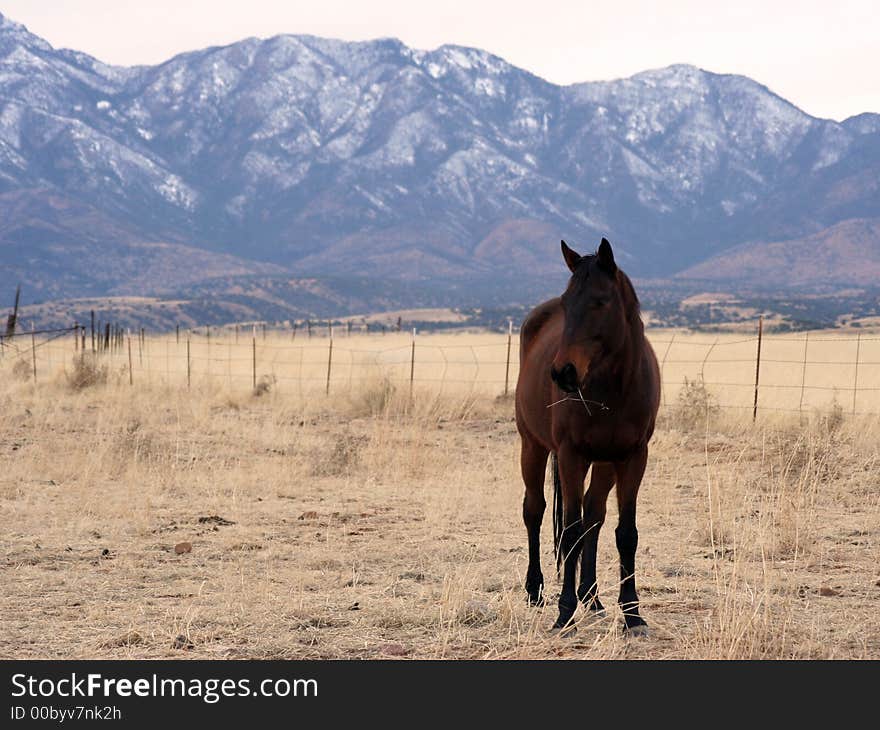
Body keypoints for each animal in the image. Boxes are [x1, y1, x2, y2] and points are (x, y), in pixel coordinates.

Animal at [516, 237, 660, 632]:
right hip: (532, 447)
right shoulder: (571, 456)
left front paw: (632, 613)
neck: (614, 389)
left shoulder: (632, 457)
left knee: (594, 517)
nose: (563, 373)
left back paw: (592, 597)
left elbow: (624, 533)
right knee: (535, 510)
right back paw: (536, 591)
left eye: (600, 301)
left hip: (605, 463)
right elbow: (569, 531)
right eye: (568, 304)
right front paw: (565, 613)